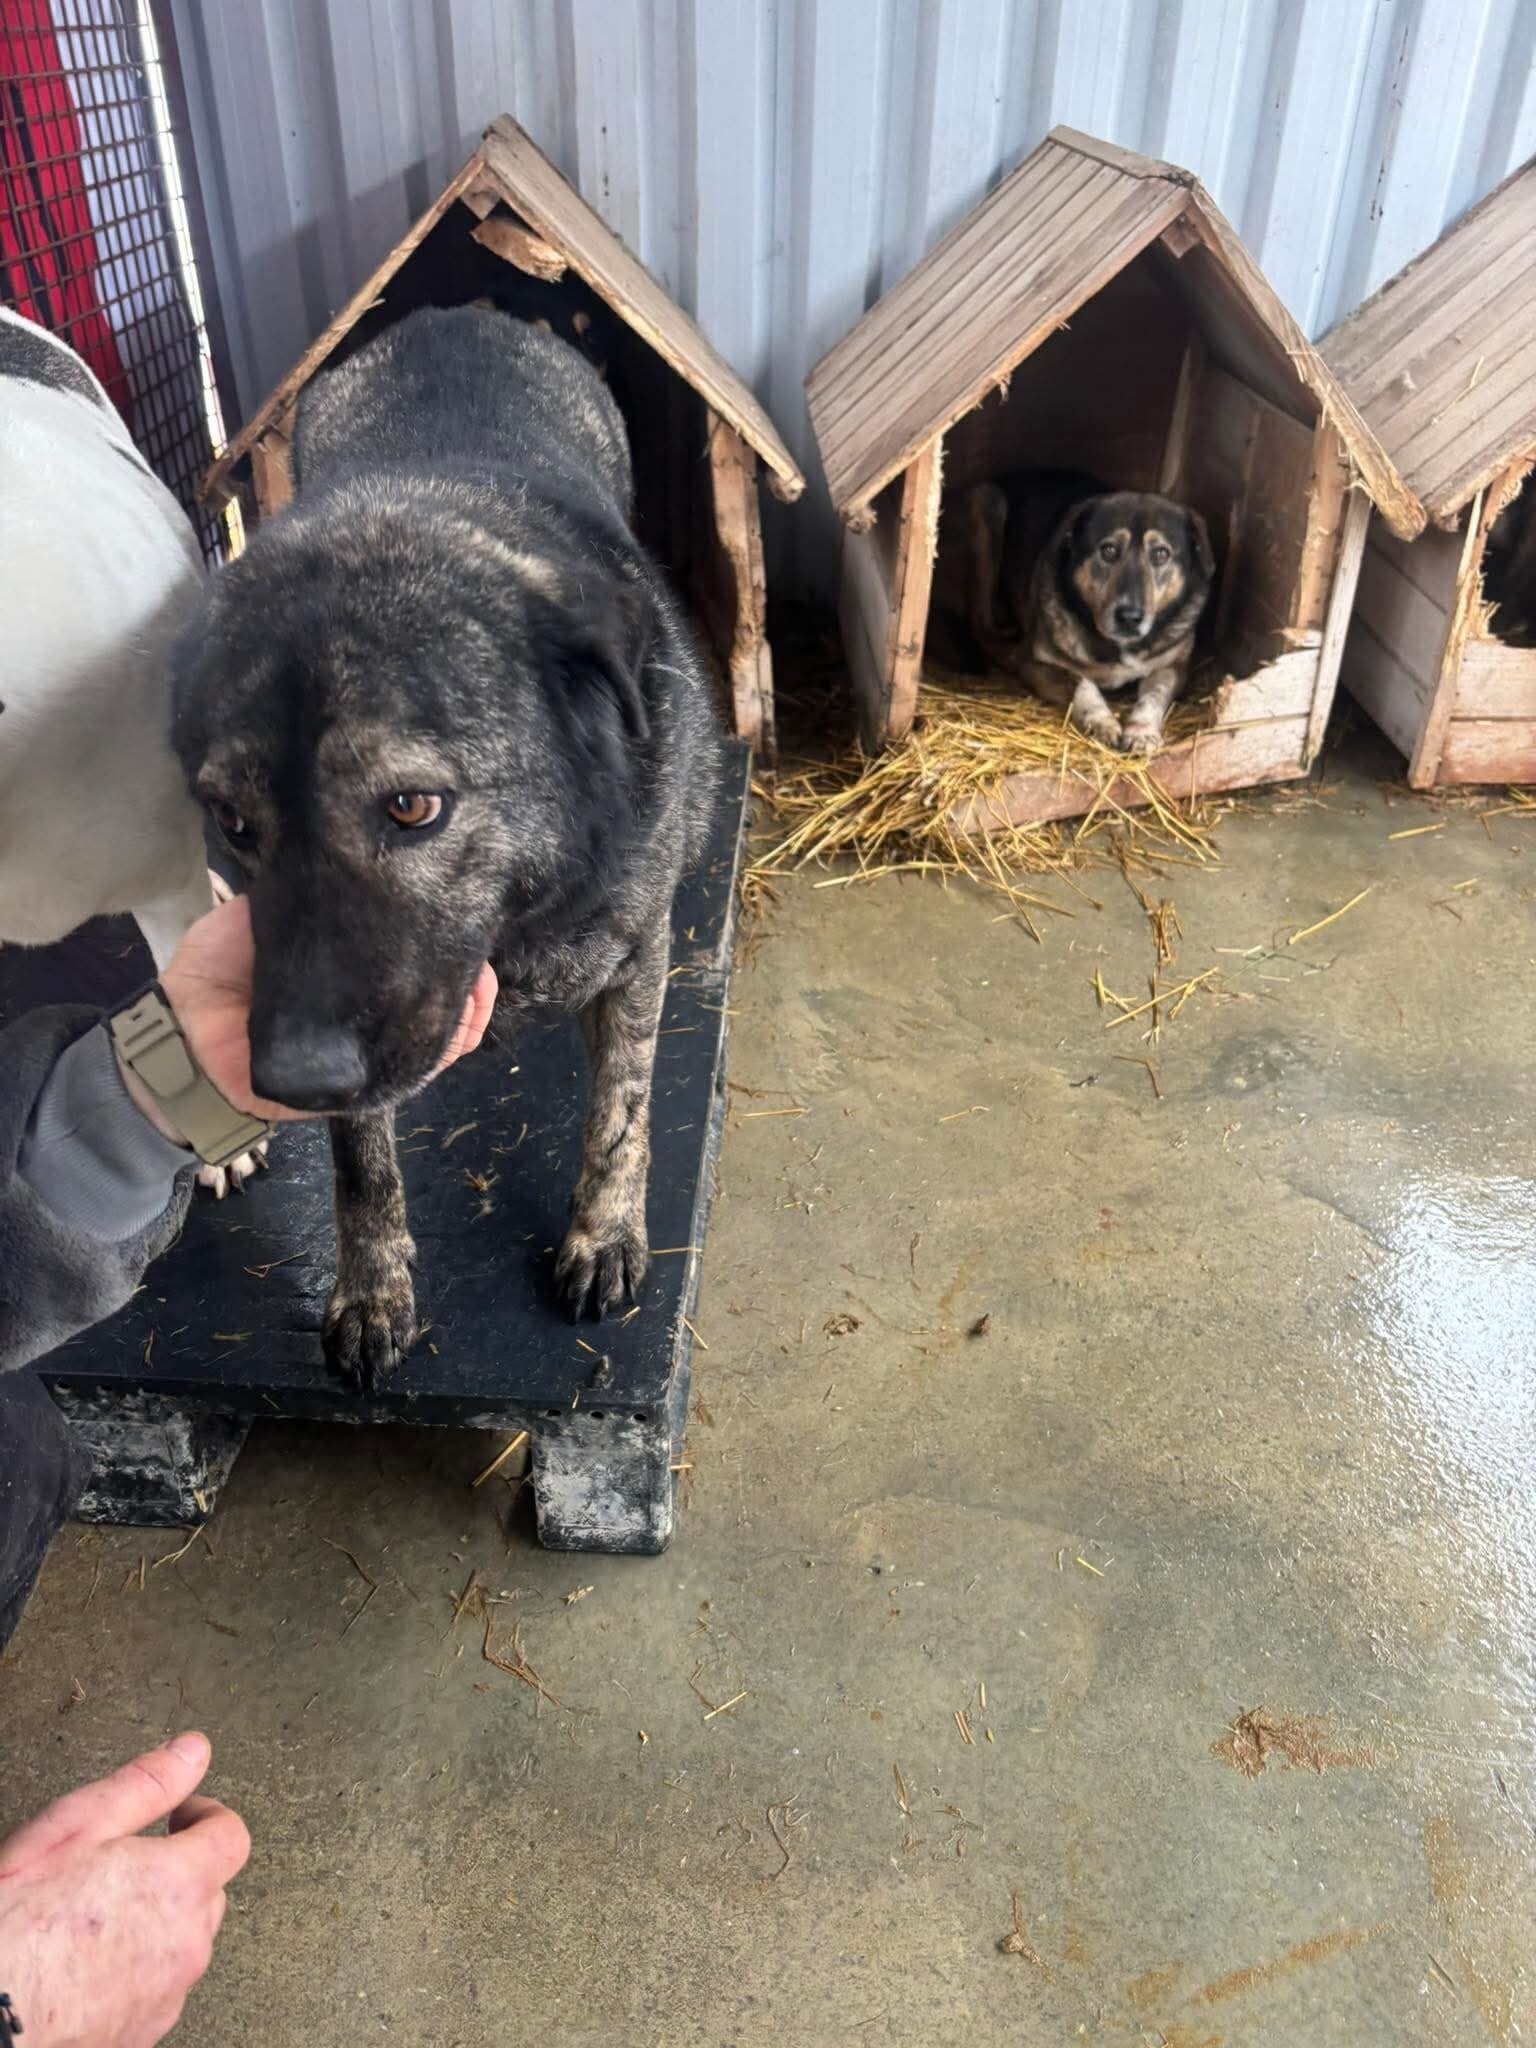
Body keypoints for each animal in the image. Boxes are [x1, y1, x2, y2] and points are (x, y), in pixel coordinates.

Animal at [172, 305, 721, 1389]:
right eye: (235, 821)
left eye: (414, 805)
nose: (288, 1080)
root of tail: (453, 312)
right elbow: (359, 1162)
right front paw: (371, 1287)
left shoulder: (638, 954)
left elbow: (621, 1110)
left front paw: (603, 1235)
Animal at [933, 468, 1215, 753]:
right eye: (1109, 550)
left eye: (1160, 554)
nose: (1130, 617)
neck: (1114, 646)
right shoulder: (1034, 664)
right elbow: (1081, 682)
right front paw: (1101, 720)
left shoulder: (1173, 668)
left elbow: (1154, 695)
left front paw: (1142, 730)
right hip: (986, 504)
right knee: (984, 630)